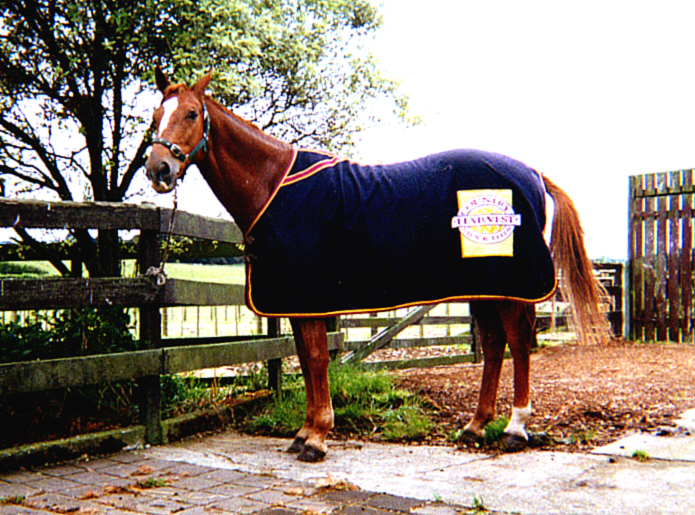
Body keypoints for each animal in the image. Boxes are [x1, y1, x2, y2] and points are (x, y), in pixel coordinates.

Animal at [145, 69, 608, 464]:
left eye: (191, 113)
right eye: (155, 116)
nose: (158, 169)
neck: (272, 184)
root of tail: (532, 173)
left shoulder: (310, 299)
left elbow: (316, 360)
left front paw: (317, 437)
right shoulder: (297, 301)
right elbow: (305, 359)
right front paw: (304, 432)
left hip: (510, 287)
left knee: (518, 343)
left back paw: (514, 428)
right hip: (483, 286)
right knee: (494, 345)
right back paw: (475, 427)